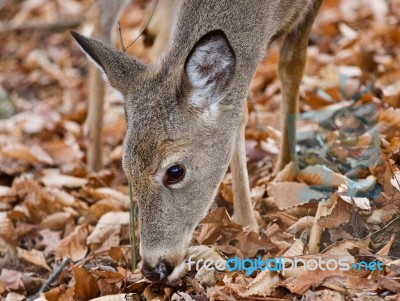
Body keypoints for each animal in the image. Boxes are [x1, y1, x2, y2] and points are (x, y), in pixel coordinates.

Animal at [71, 0, 322, 284]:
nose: (153, 269)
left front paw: (285, 169)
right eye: (127, 170)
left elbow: (291, 64)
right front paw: (249, 221)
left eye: (175, 171)